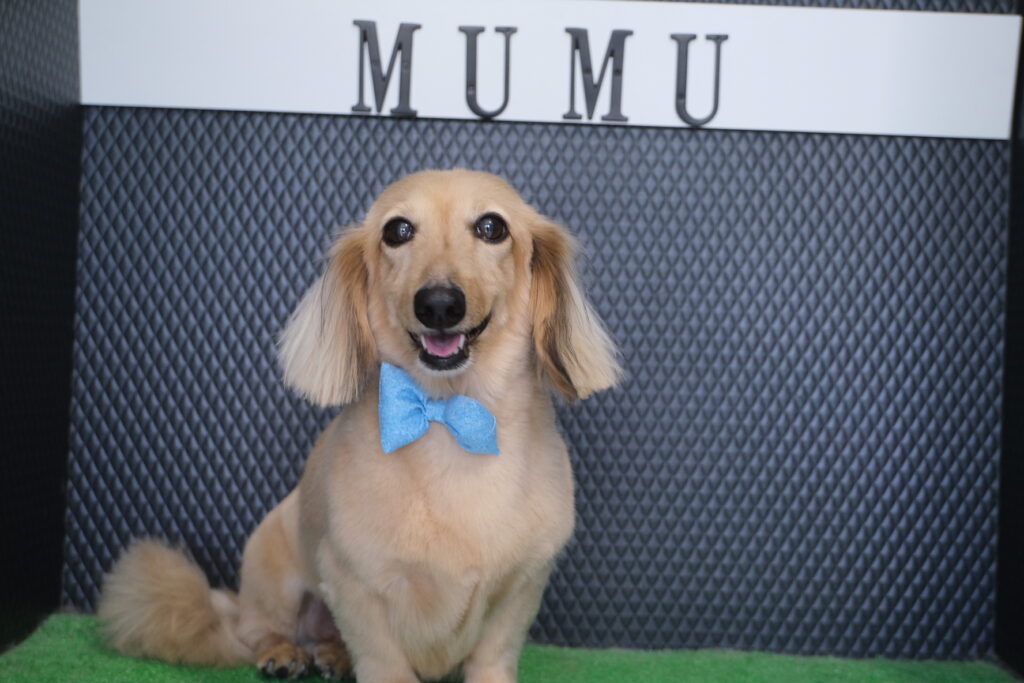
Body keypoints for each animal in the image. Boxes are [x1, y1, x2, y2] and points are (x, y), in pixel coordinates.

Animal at [97, 169, 621, 682]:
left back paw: (331, 656)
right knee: (256, 630)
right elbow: (383, 659)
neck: (447, 417)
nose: (438, 304)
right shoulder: (354, 584)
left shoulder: (520, 590)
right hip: (272, 566)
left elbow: (492, 657)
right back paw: (283, 652)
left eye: (492, 227)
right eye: (398, 231)